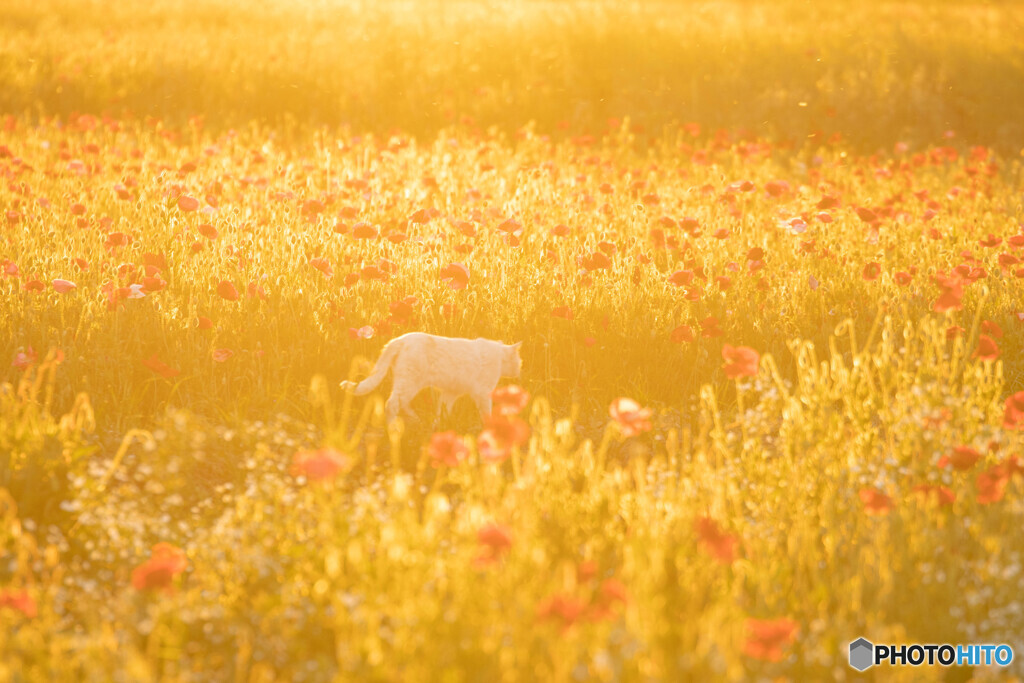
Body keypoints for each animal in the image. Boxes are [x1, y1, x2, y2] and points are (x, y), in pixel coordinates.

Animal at [342, 331, 524, 421]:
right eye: (519, 361)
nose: (519, 369)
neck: (499, 356)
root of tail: (400, 339)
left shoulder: (450, 392)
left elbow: (442, 411)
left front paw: (440, 428)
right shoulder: (483, 393)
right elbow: (487, 413)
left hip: (406, 383)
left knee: (402, 403)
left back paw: (416, 419)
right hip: (410, 382)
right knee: (391, 405)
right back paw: (393, 428)